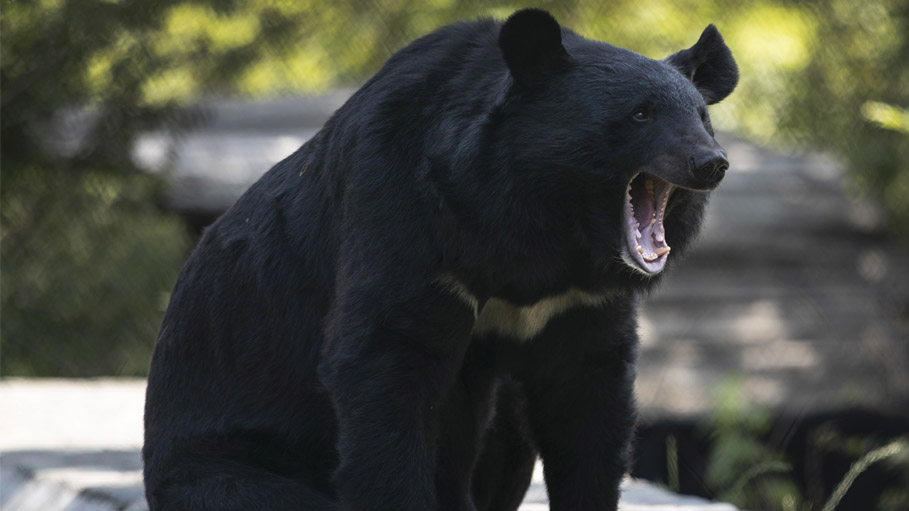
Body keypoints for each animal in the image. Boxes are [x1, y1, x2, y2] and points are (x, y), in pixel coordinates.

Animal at [143, 8, 738, 511]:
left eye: (702, 117)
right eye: (640, 115)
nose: (711, 163)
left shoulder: (579, 301)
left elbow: (587, 403)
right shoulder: (405, 218)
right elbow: (384, 364)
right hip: (221, 460)